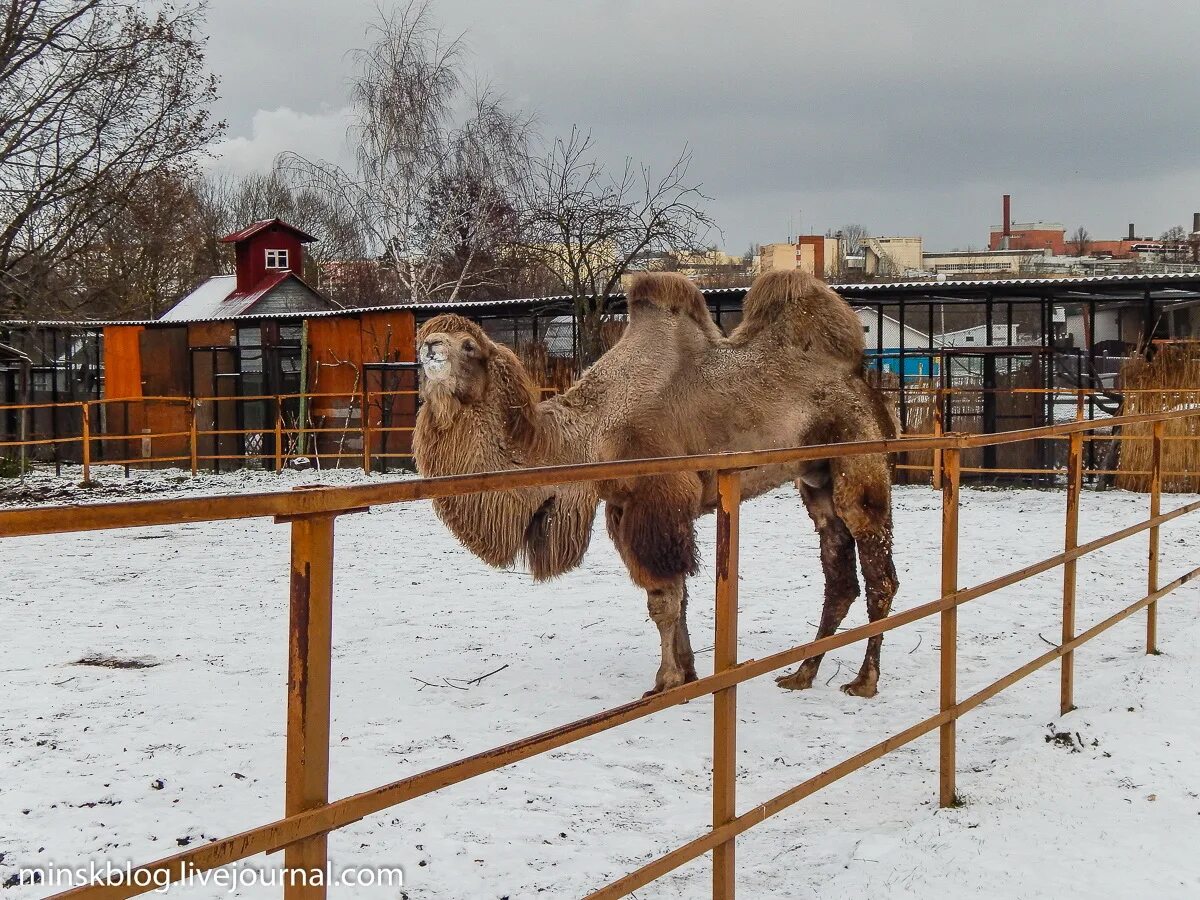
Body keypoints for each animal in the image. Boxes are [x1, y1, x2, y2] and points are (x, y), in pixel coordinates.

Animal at [417, 271, 897, 700]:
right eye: (426, 332)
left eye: (469, 345)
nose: (428, 347)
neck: (591, 434)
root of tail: (862, 382)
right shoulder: (624, 510)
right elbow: (676, 597)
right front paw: (688, 674)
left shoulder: (658, 500)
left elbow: (663, 600)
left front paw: (665, 681)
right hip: (815, 478)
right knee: (839, 578)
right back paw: (802, 673)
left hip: (859, 456)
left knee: (880, 573)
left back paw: (865, 681)